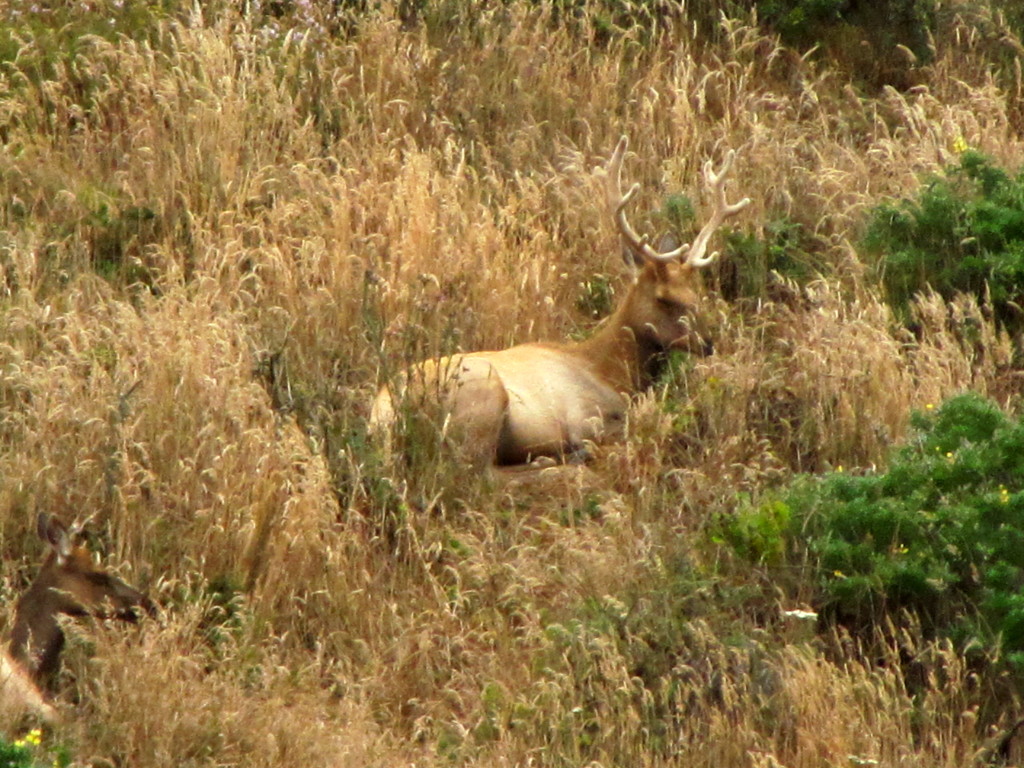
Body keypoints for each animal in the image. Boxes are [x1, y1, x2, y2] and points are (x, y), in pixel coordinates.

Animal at [372, 135, 749, 466]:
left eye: (695, 292)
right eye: (664, 298)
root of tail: (385, 412)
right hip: (482, 394)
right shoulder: (583, 419)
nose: (708, 342)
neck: (611, 373)